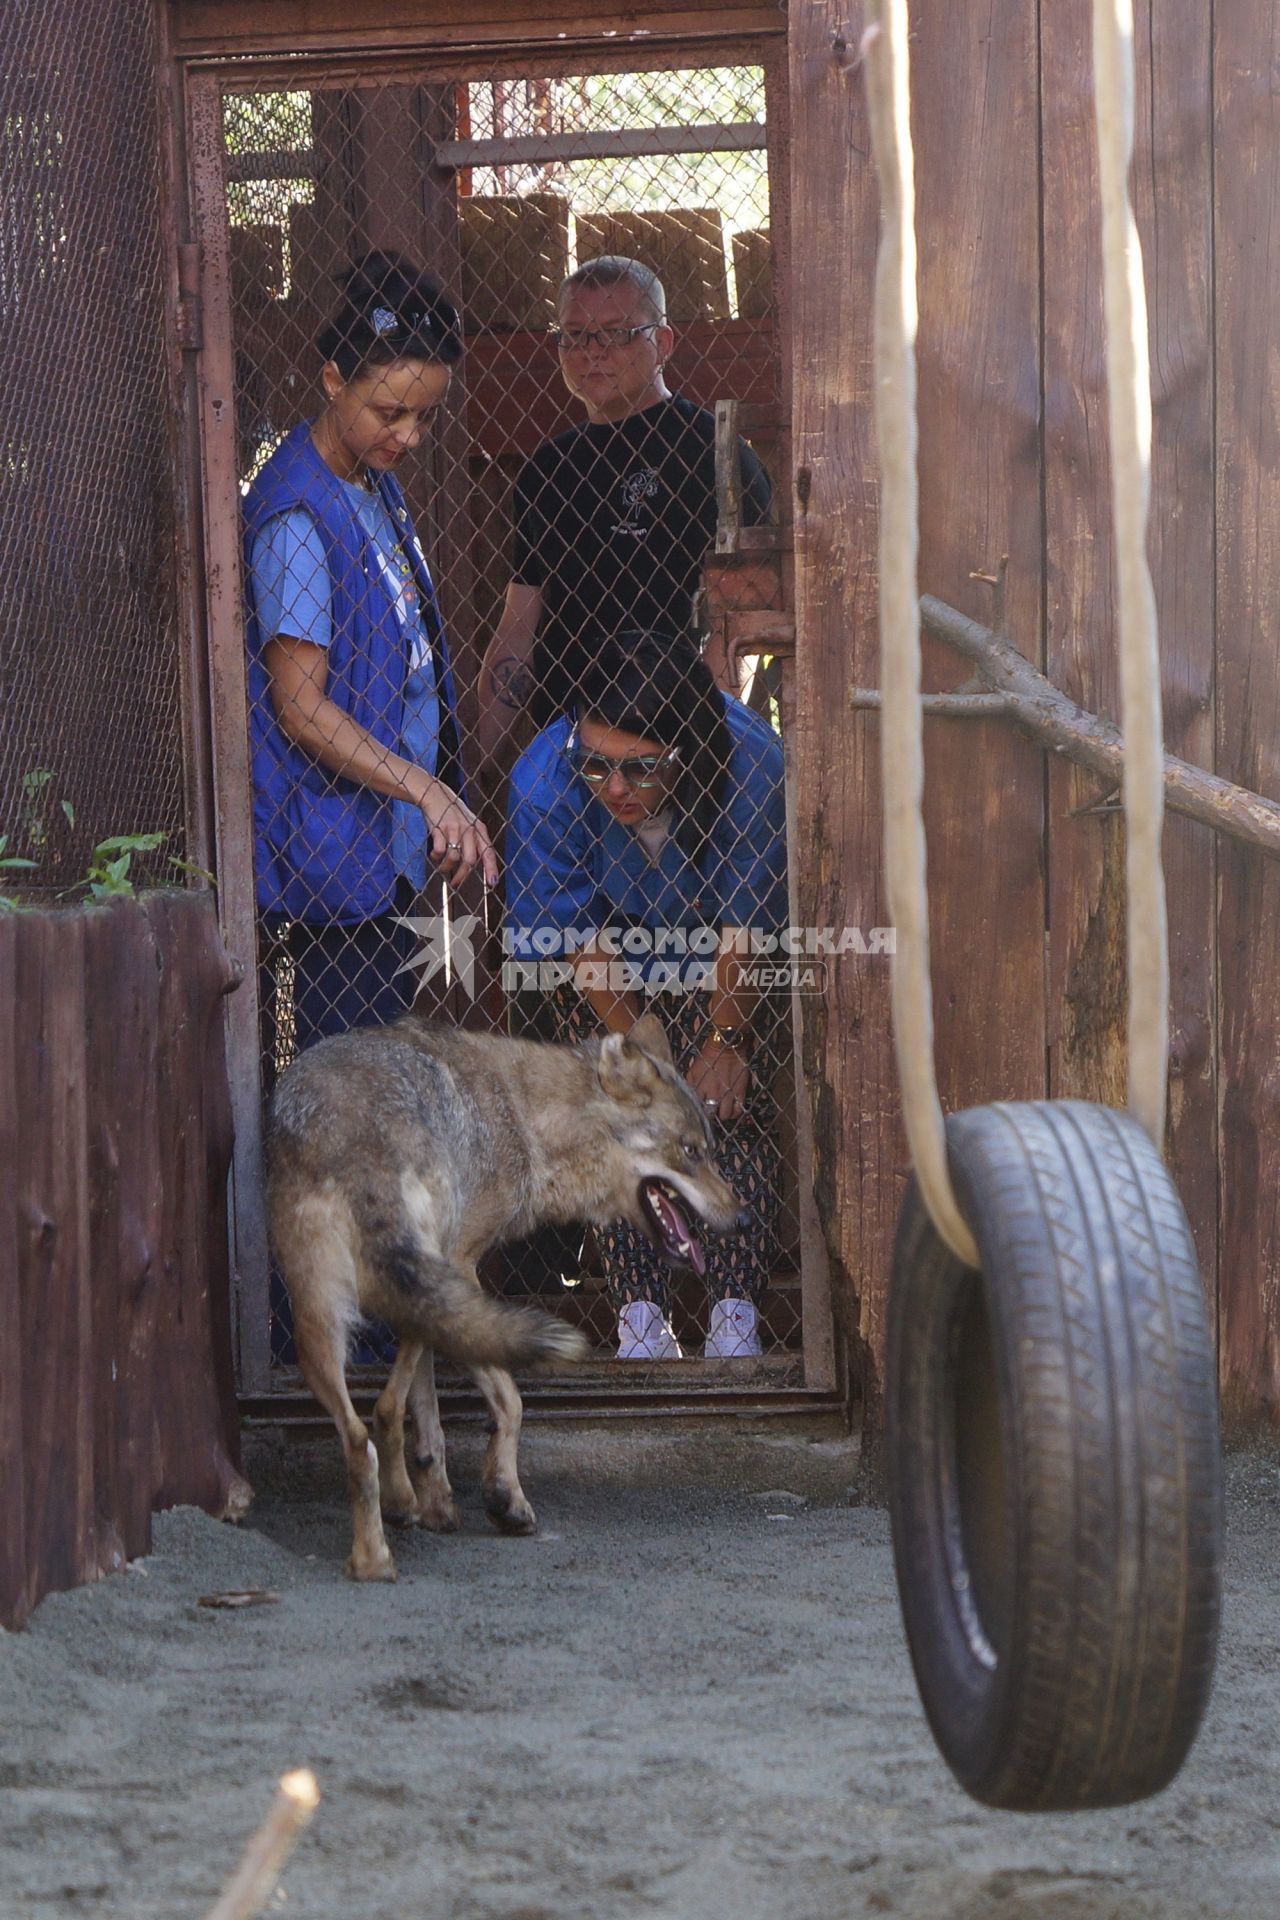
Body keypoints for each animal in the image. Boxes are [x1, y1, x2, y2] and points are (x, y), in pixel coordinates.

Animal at [270, 1006, 752, 1574]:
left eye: (711, 1151)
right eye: (691, 1152)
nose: (745, 1219)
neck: (528, 1120)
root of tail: (356, 1131)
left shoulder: (427, 1288)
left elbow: (426, 1412)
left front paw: (437, 1504)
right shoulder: (460, 1265)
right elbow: (509, 1400)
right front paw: (505, 1499)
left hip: (323, 1319)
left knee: (359, 1434)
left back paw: (373, 1557)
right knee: (385, 1410)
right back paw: (395, 1516)